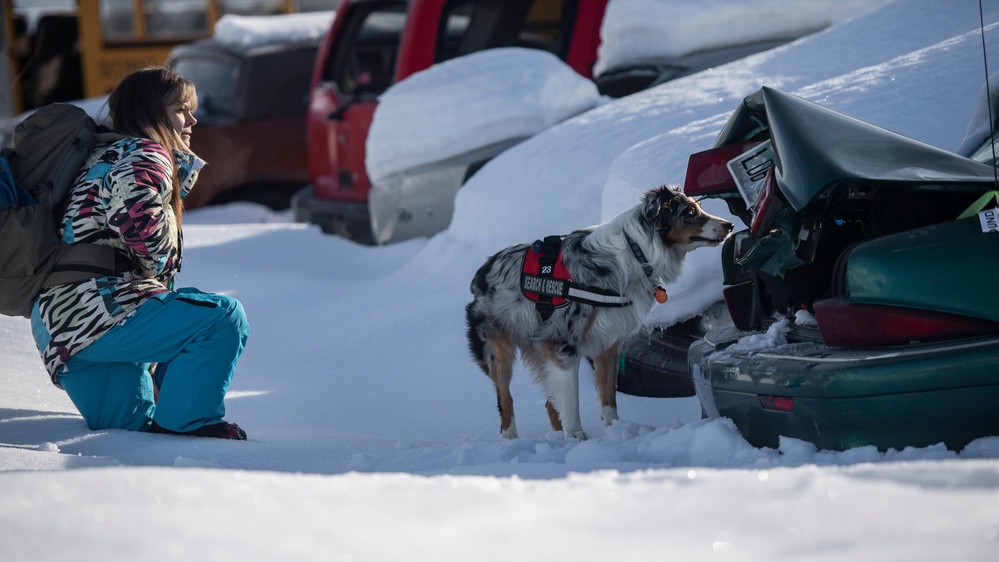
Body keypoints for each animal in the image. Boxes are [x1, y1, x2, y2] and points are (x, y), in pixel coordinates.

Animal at [462, 185, 736, 438]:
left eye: (699, 207)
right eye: (690, 213)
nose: (730, 225)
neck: (636, 252)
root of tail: (482, 271)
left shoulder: (608, 342)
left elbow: (607, 397)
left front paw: (618, 432)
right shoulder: (563, 345)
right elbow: (571, 400)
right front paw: (576, 436)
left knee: (550, 404)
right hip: (498, 352)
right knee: (505, 401)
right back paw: (512, 440)